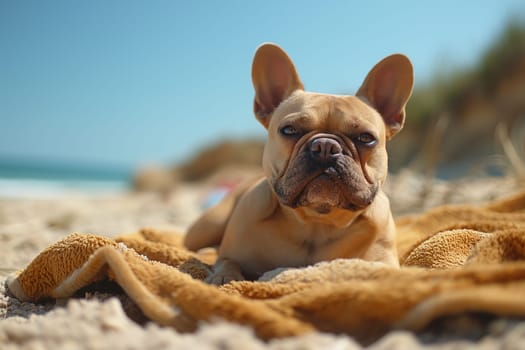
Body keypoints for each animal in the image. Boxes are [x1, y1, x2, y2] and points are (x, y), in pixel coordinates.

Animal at [184, 43, 414, 284]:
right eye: (289, 130)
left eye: (366, 138)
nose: (325, 146)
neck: (316, 223)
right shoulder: (231, 254)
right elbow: (227, 263)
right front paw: (224, 277)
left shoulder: (384, 263)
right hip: (206, 227)